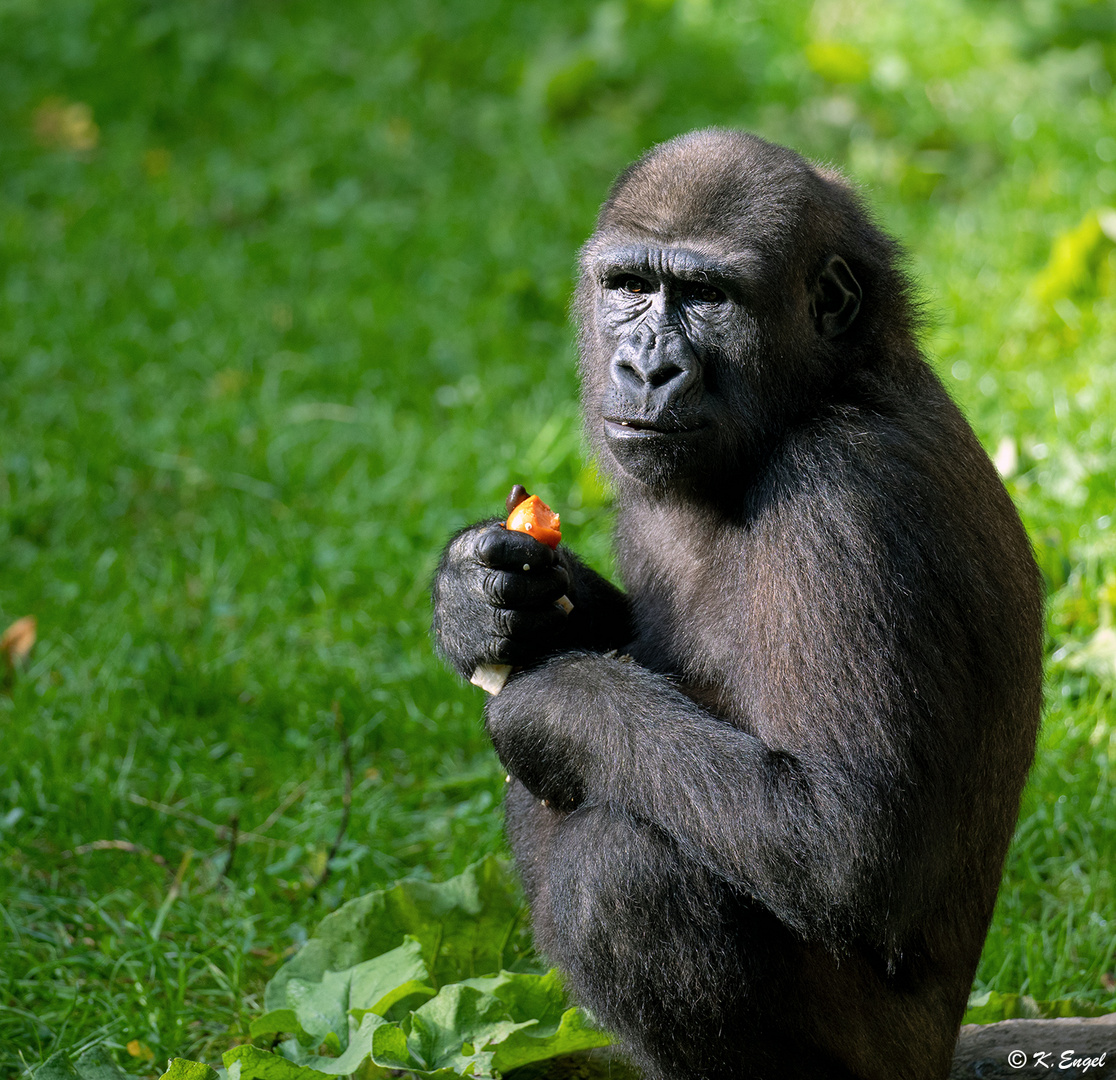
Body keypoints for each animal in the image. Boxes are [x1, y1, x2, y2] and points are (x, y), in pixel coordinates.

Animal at [428, 128, 1044, 1080]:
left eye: (709, 298)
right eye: (629, 287)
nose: (646, 368)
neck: (834, 383)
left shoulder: (843, 498)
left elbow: (846, 846)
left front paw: (551, 704)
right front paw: (477, 597)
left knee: (617, 864)